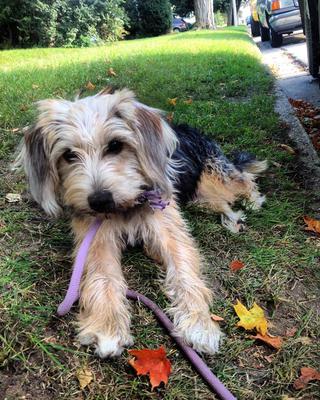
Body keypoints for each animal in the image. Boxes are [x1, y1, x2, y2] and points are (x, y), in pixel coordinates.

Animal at [16, 87, 268, 356]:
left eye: (116, 145)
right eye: (68, 155)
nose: (99, 201)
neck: (126, 205)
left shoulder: (169, 227)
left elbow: (184, 273)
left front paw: (199, 324)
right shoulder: (96, 238)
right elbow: (102, 276)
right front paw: (107, 327)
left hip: (215, 178)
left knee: (243, 180)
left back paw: (251, 202)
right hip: (199, 197)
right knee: (221, 202)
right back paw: (232, 218)